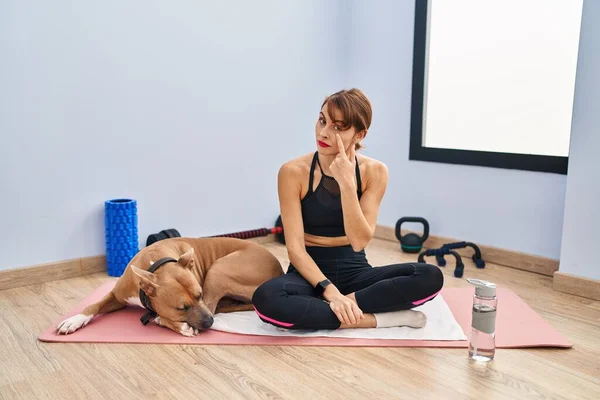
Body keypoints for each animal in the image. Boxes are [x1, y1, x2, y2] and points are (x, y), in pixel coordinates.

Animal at [54, 236, 284, 336]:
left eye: (199, 295)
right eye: (181, 307)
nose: (209, 322)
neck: (155, 263)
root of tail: (279, 270)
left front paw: (174, 324)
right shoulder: (116, 296)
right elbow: (93, 305)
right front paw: (74, 320)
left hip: (218, 269)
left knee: (214, 305)